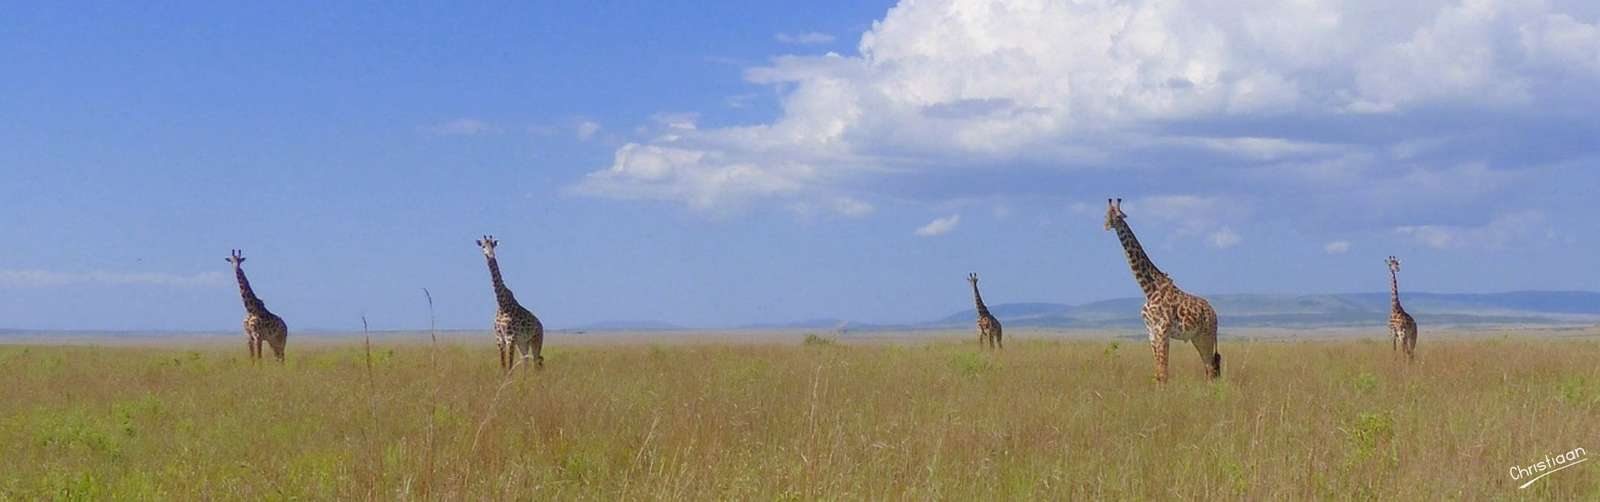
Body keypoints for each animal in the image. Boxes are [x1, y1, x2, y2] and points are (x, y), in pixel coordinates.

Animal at [473, 235, 544, 369]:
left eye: (493, 245)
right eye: (483, 246)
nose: (490, 255)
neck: (502, 304)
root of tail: (541, 326)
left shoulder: (510, 338)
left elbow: (510, 366)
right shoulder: (499, 339)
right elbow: (504, 366)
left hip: (536, 340)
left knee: (537, 362)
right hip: (523, 342)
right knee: (526, 361)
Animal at [1100, 198, 1222, 382]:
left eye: (1116, 216)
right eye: (1106, 214)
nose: (1106, 226)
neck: (1148, 288)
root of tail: (1214, 313)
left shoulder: (1162, 330)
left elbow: (1164, 372)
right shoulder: (1151, 331)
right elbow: (1158, 372)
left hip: (1206, 335)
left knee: (1211, 368)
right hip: (1196, 337)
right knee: (1209, 368)